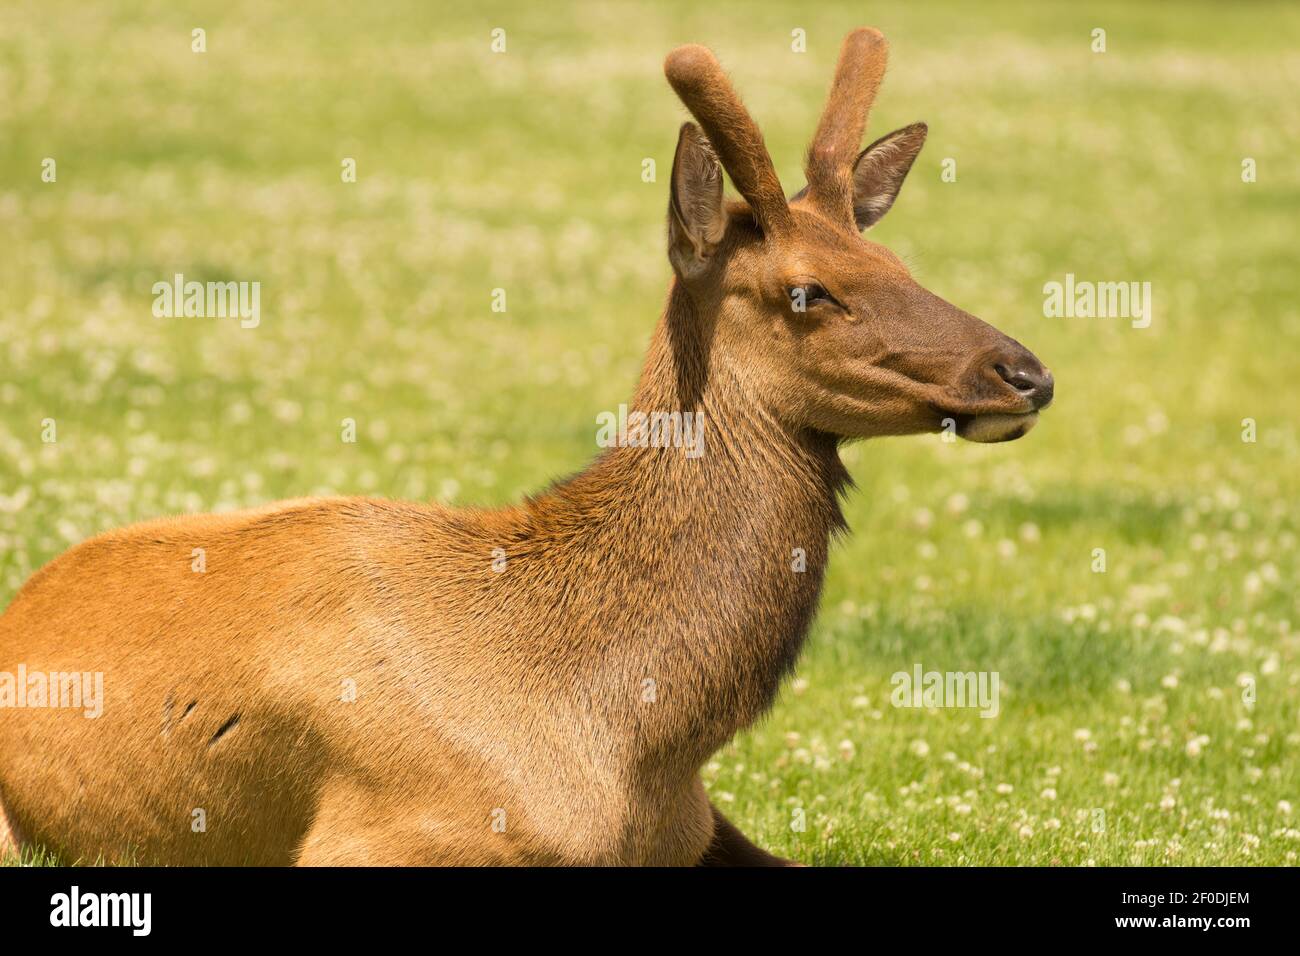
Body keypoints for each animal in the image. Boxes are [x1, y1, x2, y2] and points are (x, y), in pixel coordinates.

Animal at [0, 27, 1045, 868]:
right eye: (807, 291)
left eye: (897, 261)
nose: (1025, 371)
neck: (636, 742)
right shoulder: (376, 837)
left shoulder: (703, 828)